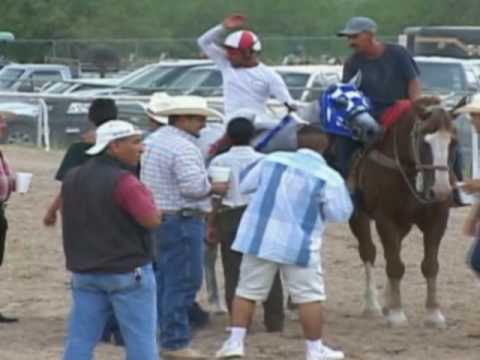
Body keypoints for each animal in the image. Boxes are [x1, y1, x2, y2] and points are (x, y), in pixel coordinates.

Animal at [350, 97, 456, 328]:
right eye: (424, 141)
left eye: (453, 142)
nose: (441, 190)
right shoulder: (385, 219)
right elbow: (395, 265)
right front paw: (397, 314)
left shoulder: (438, 220)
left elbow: (430, 265)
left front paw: (433, 313)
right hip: (359, 216)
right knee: (369, 251)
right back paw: (373, 305)